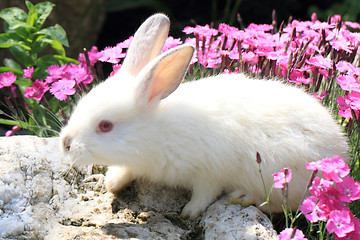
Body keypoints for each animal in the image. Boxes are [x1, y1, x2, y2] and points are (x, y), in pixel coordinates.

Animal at [61, 13, 348, 219]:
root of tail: (341, 149)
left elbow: (205, 194)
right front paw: (111, 183)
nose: (65, 143)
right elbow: (125, 170)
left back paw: (244, 197)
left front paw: (189, 213)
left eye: (105, 126)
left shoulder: (209, 171)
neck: (154, 132)